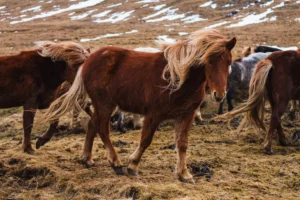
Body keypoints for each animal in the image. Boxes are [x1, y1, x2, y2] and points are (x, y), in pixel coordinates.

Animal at [40, 28, 237, 184]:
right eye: (209, 61)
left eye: (228, 62)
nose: (219, 95)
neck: (178, 78)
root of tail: (90, 58)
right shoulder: (153, 115)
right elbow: (145, 140)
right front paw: (133, 165)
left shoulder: (186, 115)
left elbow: (182, 144)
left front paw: (184, 174)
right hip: (104, 104)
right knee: (102, 129)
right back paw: (116, 163)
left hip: (104, 105)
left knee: (92, 125)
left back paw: (87, 158)